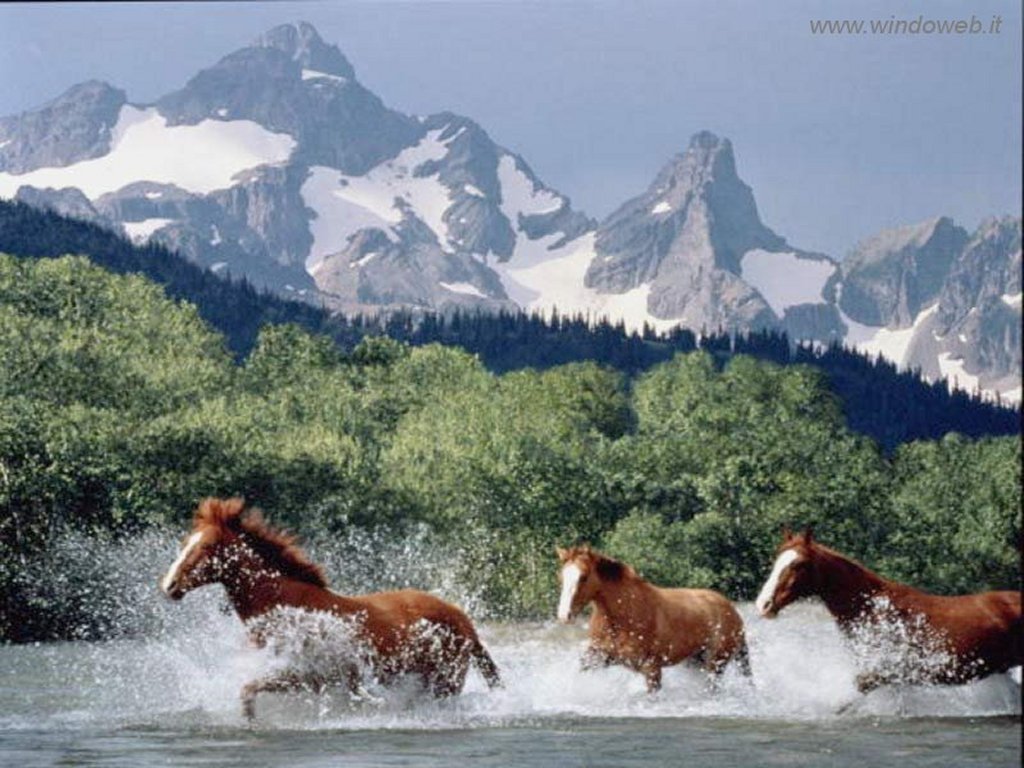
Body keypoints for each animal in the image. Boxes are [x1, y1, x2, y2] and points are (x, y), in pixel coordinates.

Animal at [160, 498, 501, 718]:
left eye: (205, 547)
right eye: (185, 543)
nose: (169, 585)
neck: (284, 606)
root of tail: (464, 622)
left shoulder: (303, 674)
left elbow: (247, 693)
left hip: (445, 682)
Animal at [556, 545, 750, 692]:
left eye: (583, 577)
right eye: (561, 577)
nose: (564, 615)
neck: (623, 617)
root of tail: (731, 609)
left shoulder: (651, 669)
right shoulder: (600, 656)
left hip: (716, 663)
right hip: (696, 661)